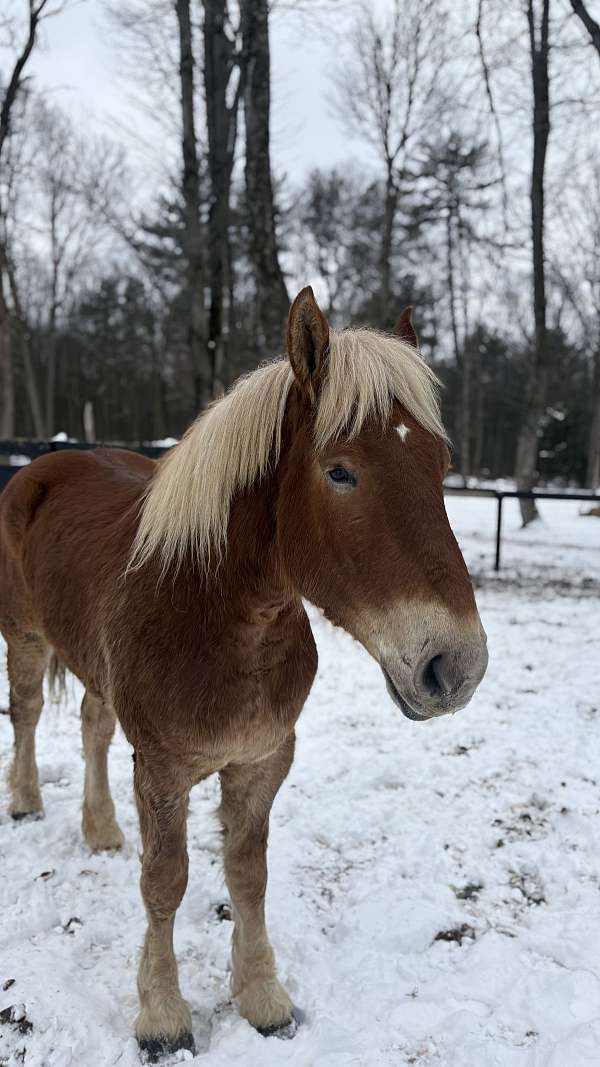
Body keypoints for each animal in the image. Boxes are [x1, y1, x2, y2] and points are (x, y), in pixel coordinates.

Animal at [0, 287, 488, 1059]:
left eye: (440, 466)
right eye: (340, 470)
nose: (456, 666)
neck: (214, 616)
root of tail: (39, 468)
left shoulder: (263, 759)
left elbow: (248, 875)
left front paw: (263, 998)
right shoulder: (163, 770)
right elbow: (165, 882)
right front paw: (162, 1016)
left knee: (92, 728)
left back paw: (100, 829)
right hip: (23, 635)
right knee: (24, 711)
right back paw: (24, 801)